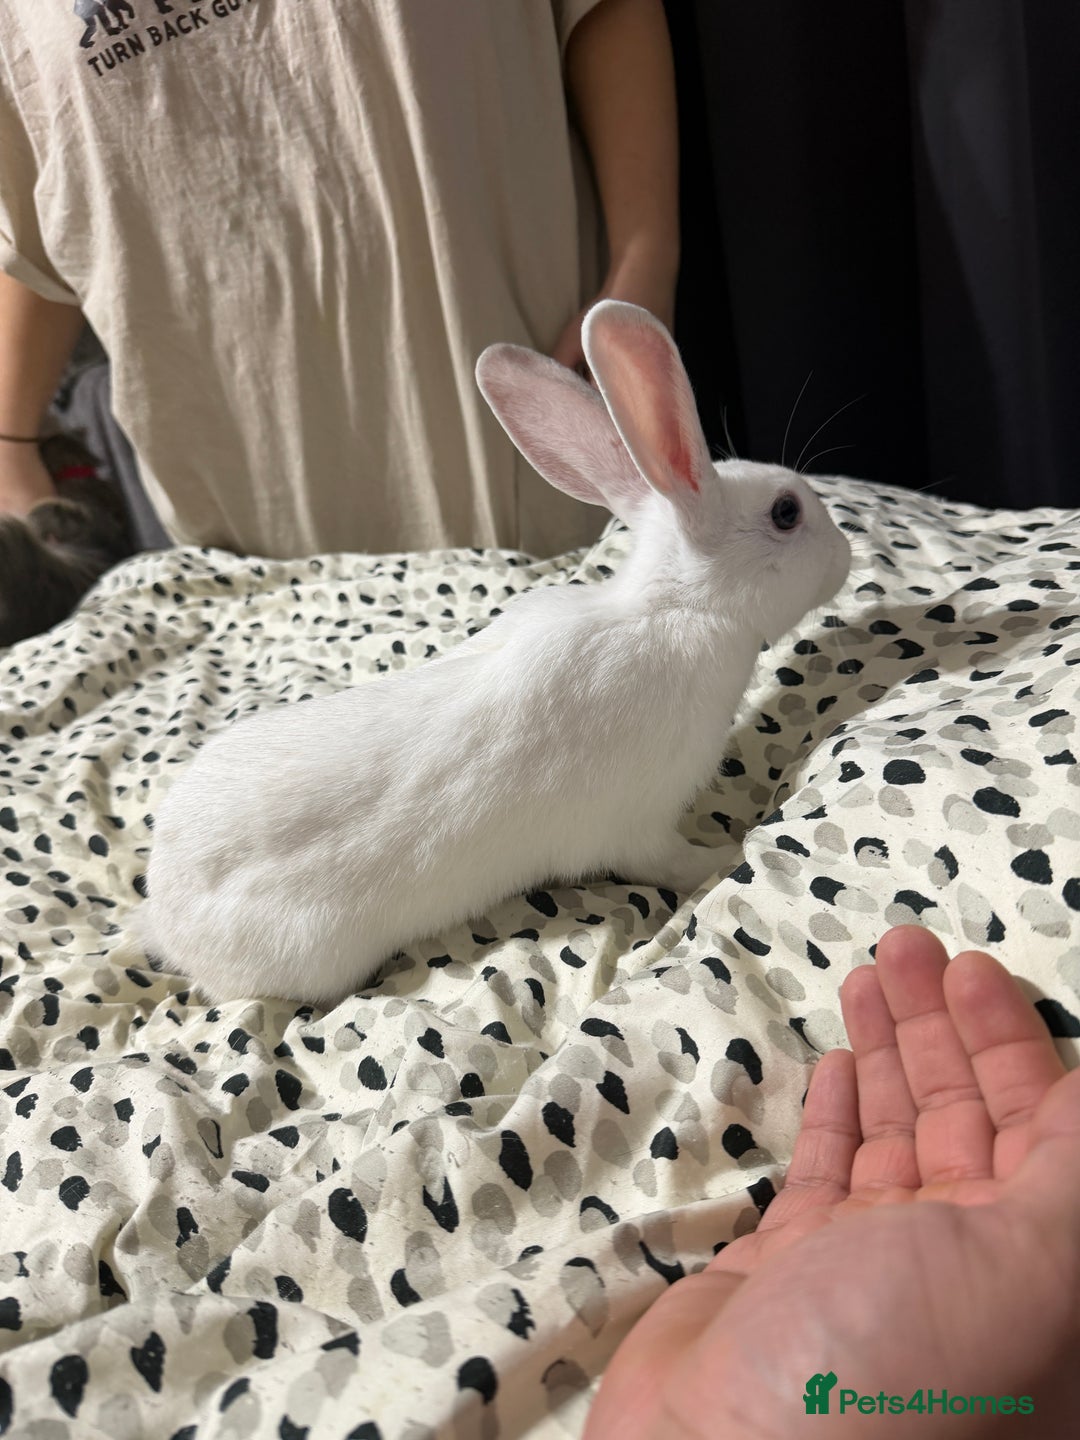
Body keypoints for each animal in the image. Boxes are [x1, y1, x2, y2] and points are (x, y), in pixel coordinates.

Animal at [136, 301, 851, 1007]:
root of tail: (166, 920)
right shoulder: (637, 825)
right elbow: (672, 863)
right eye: (786, 513)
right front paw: (726, 851)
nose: (846, 558)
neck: (674, 609)